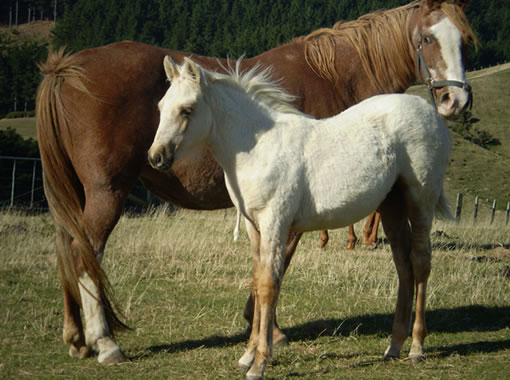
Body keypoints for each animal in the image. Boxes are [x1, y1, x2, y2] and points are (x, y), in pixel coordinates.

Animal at [34, 0, 474, 366]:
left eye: (464, 41)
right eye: (427, 37)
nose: (455, 101)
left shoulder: (279, 221)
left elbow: (269, 278)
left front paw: (261, 351)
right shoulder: (259, 223)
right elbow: (265, 277)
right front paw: (256, 348)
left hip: (412, 200)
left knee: (417, 262)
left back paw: (413, 347)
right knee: (81, 252)